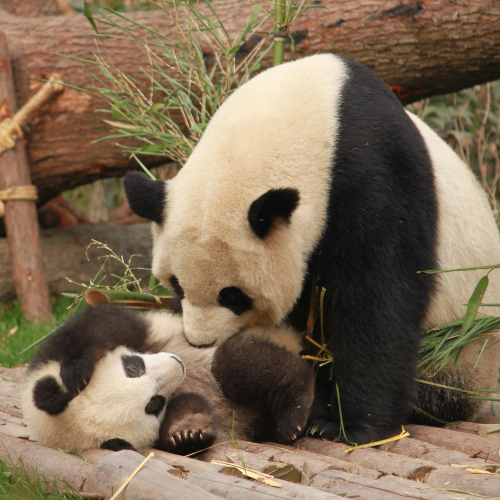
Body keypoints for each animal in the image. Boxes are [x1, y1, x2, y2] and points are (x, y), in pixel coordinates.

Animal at [124, 54, 500, 446]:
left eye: (233, 296)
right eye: (176, 285)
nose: (201, 342)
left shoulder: (376, 176)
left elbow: (377, 302)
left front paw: (352, 427)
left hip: (460, 354)